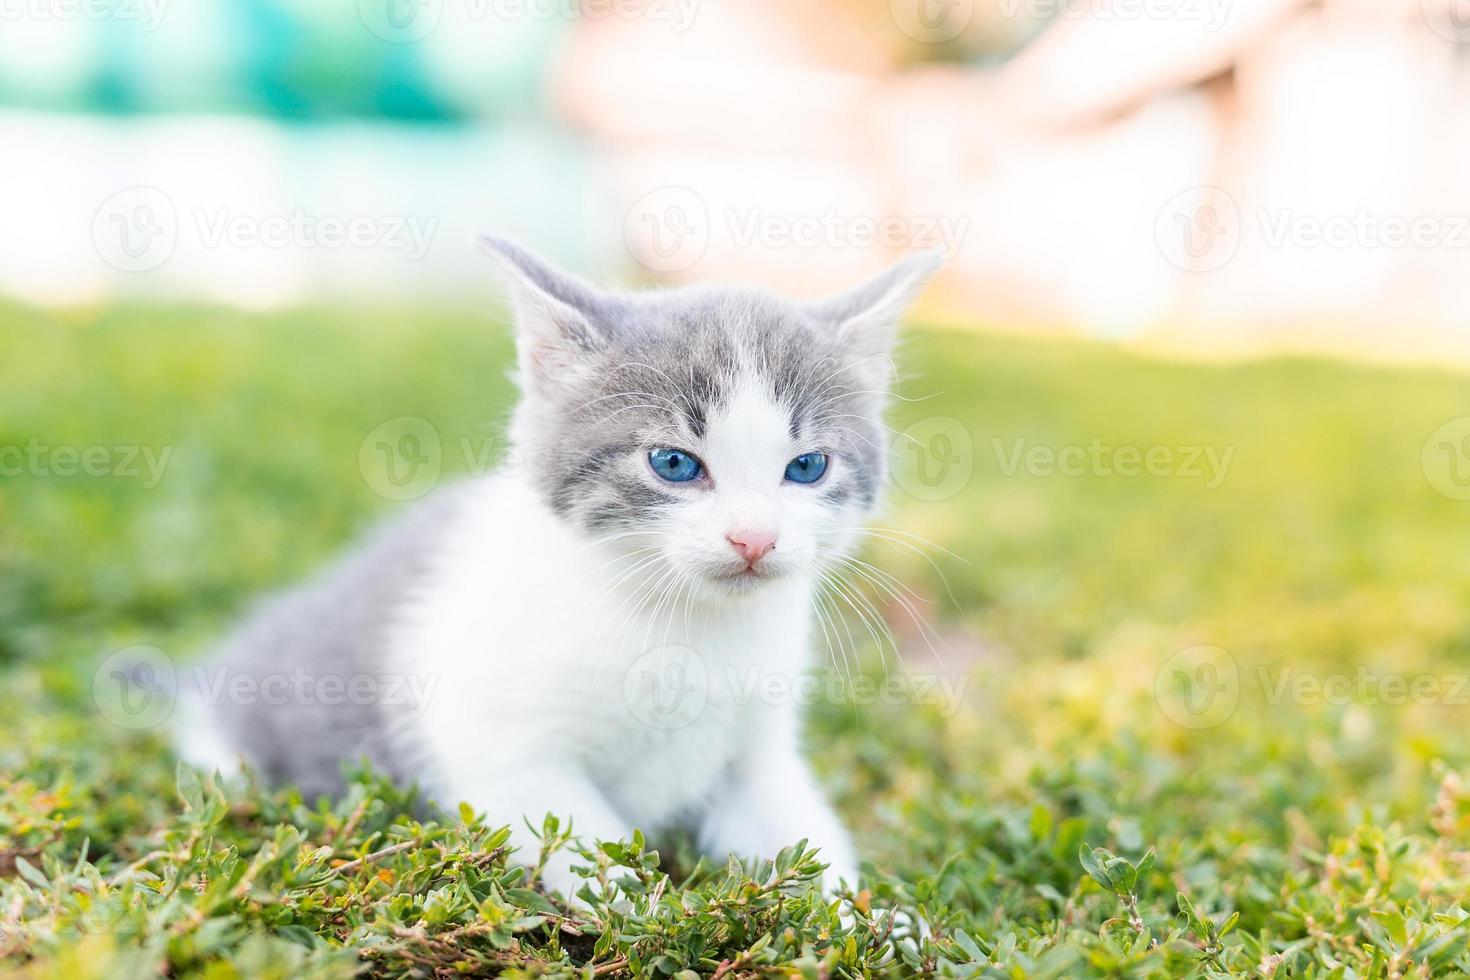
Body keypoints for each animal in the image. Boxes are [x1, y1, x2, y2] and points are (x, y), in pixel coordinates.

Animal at [177, 240, 940, 899]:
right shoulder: (496, 750)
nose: (754, 538)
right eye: (673, 463)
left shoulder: (759, 751)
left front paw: (884, 923)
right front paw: (651, 908)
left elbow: (804, 837)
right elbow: (585, 846)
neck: (685, 627)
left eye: (807, 467)